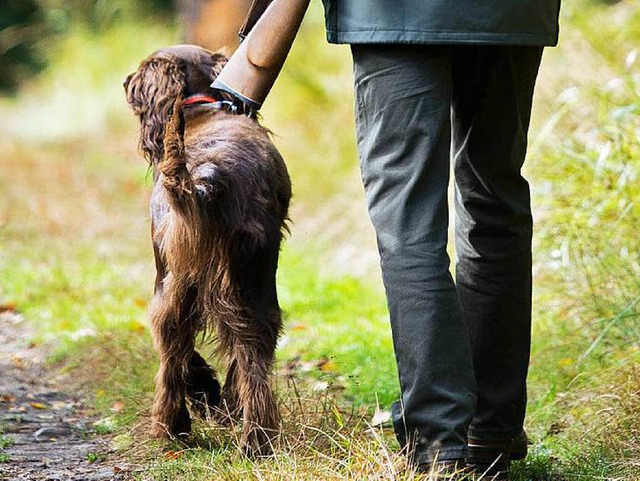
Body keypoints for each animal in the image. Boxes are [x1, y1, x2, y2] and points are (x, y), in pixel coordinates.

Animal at [125, 43, 290, 452]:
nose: (125, 81)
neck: (200, 108)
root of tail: (205, 180)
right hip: (245, 280)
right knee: (241, 353)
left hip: (188, 282)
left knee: (185, 354)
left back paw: (186, 428)